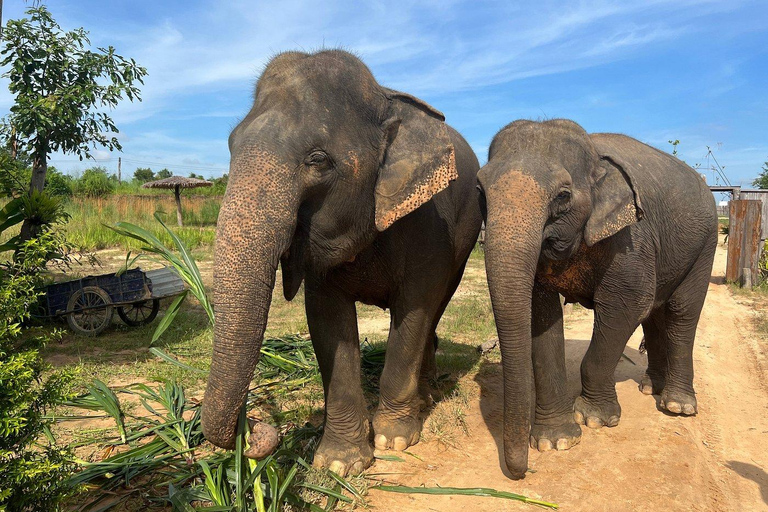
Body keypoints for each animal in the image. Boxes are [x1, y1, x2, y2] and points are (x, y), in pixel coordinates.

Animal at [201, 50, 484, 478]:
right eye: (231, 145)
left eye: (318, 160)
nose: (253, 431)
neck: (384, 98)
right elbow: (326, 318)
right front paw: (339, 464)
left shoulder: (428, 225)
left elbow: (415, 309)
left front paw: (393, 439)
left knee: (437, 306)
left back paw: (425, 395)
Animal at [480, 120, 720, 480]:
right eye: (480, 190)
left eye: (563, 195)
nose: (520, 473)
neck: (594, 156)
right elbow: (541, 315)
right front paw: (556, 442)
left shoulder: (632, 238)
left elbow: (627, 304)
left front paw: (594, 419)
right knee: (655, 316)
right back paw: (651, 388)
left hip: (706, 242)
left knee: (681, 313)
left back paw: (677, 406)